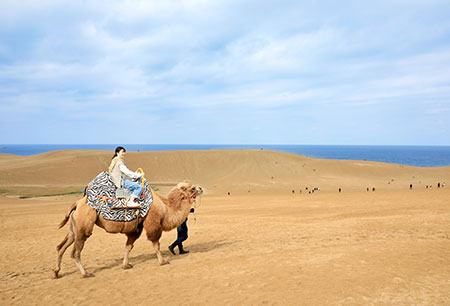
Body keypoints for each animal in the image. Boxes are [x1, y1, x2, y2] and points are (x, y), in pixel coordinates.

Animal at [52, 180, 202, 278]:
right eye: (192, 188)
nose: (201, 188)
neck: (165, 208)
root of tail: (77, 203)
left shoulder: (136, 228)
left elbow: (128, 246)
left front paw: (126, 265)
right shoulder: (152, 222)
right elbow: (156, 244)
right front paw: (163, 261)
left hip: (74, 227)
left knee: (62, 246)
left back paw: (56, 272)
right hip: (84, 226)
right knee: (76, 251)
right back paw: (85, 273)